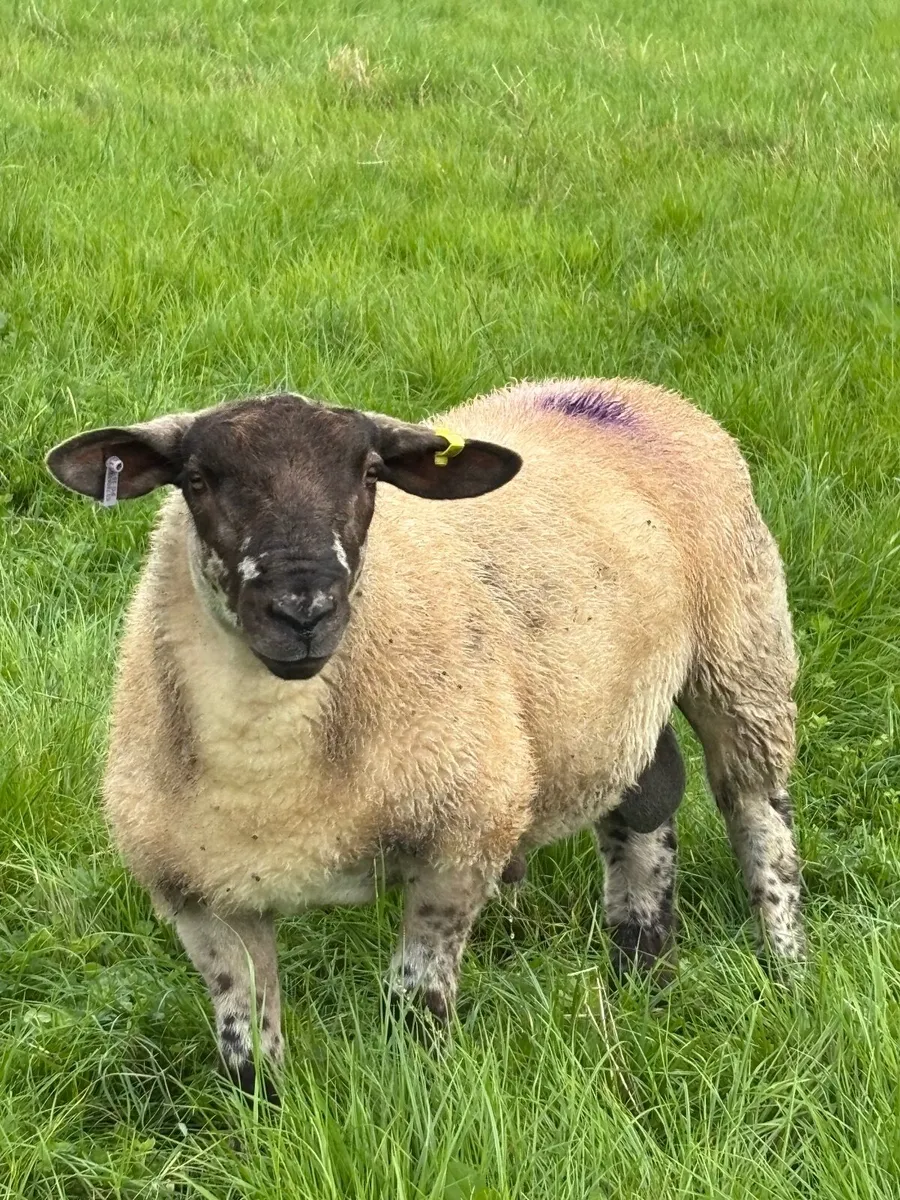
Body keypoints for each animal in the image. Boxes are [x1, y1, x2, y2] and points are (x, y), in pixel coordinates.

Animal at [46, 377, 803, 1100]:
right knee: (644, 809)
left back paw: (786, 963)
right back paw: (641, 973)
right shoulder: (204, 901)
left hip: (744, 651)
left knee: (756, 811)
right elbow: (249, 1056)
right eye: (198, 479)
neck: (271, 768)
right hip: (608, 703)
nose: (304, 610)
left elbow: (415, 1009)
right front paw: (265, 1127)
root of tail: (624, 391)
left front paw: (420, 1097)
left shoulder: (459, 844)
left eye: (370, 474)